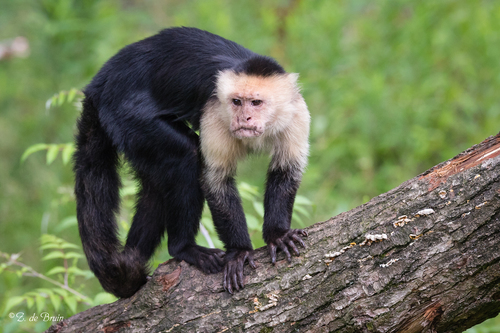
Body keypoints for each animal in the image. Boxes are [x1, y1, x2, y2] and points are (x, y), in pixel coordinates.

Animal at [73, 26, 308, 296]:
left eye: (256, 103)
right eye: (236, 102)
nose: (244, 118)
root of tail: (101, 82)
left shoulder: (297, 113)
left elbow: (286, 171)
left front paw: (277, 235)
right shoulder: (215, 111)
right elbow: (216, 181)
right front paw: (239, 251)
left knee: (156, 187)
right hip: (124, 113)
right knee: (185, 156)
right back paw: (181, 248)